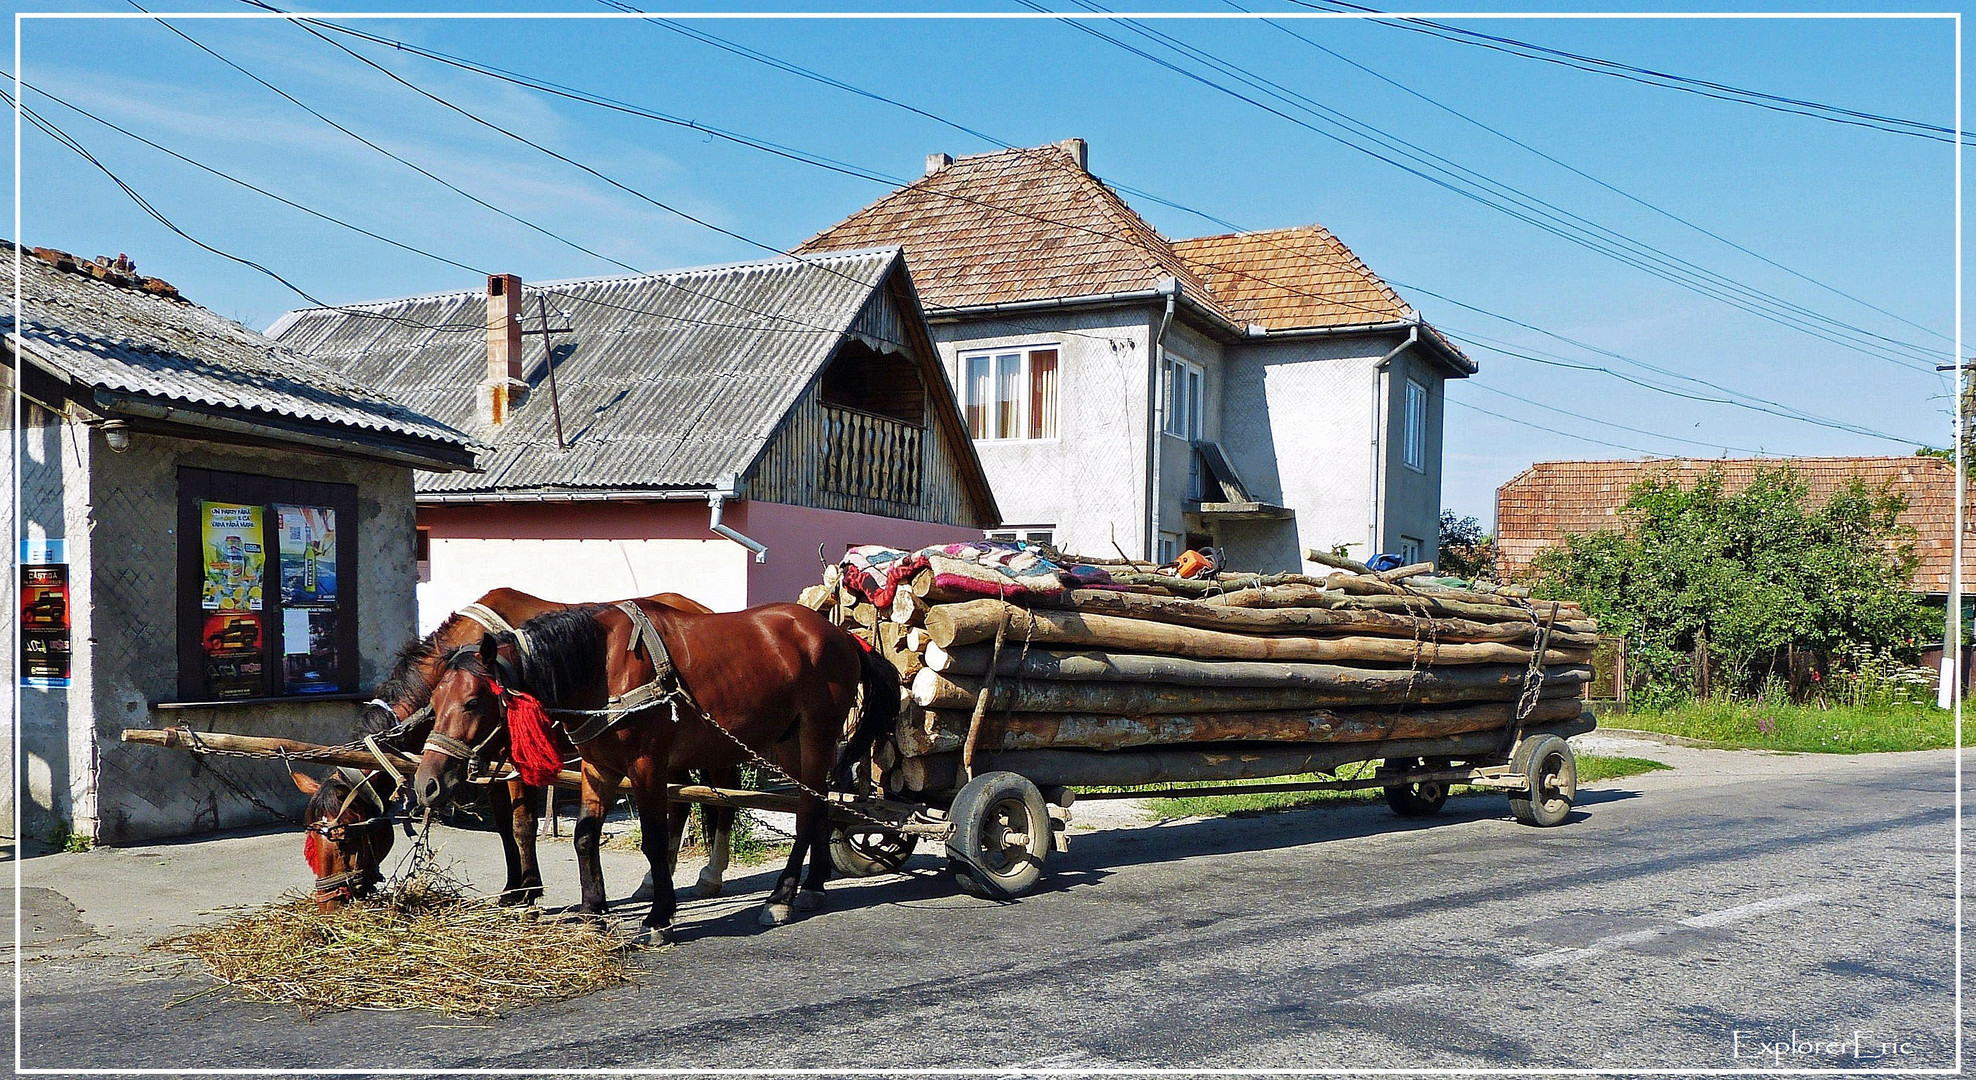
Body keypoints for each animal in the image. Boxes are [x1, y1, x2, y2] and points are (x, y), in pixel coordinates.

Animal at [304, 588, 739, 908]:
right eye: (311, 845)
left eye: (345, 841)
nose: (329, 904)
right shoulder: (487, 763)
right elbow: (503, 827)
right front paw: (514, 887)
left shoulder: (515, 761)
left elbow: (522, 824)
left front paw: (529, 889)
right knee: (680, 801)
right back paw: (655, 878)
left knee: (722, 796)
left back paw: (709, 874)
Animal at [416, 604, 897, 943]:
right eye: (434, 703)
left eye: (473, 702)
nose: (427, 784)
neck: (603, 668)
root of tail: (840, 635)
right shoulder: (599, 767)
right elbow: (584, 836)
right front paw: (593, 912)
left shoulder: (647, 767)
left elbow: (653, 839)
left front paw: (659, 916)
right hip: (787, 742)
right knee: (819, 808)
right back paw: (813, 885)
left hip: (817, 737)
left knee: (806, 812)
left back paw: (782, 896)